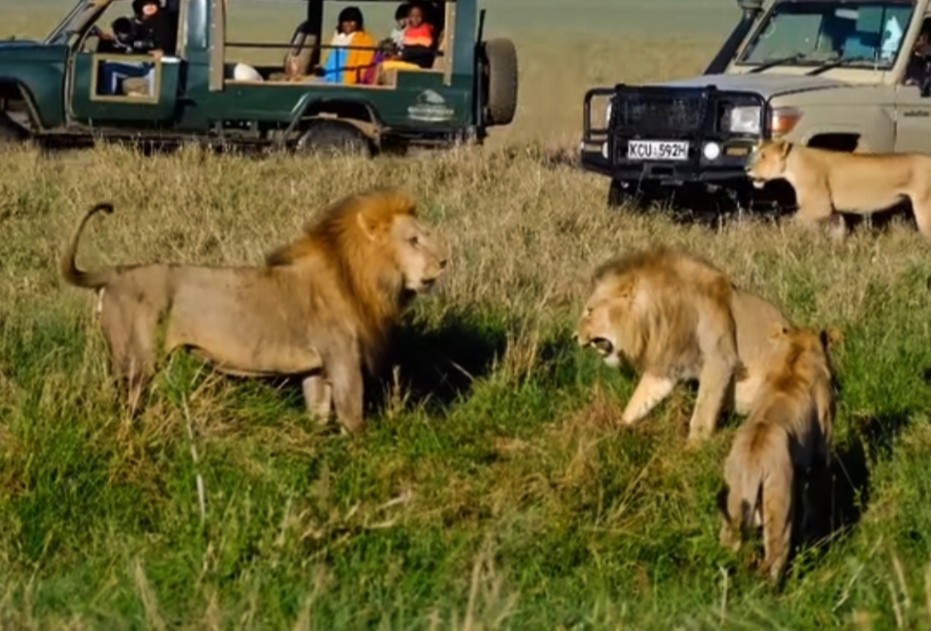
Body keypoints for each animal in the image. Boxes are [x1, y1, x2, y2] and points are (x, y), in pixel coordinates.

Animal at [61, 186, 448, 434]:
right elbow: (353, 418)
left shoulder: (317, 368)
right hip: (137, 362)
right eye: (414, 240)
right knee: (127, 406)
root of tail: (114, 273)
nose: (445, 262)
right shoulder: (343, 359)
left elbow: (318, 414)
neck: (364, 276)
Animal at [580, 248, 792, 444]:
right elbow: (640, 398)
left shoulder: (720, 359)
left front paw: (693, 449)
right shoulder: (669, 365)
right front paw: (616, 430)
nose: (576, 337)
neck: (663, 314)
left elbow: (702, 413)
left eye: (590, 311)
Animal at [716, 326, 840, 588]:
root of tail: (752, 459)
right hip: (779, 498)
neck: (795, 353)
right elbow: (813, 496)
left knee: (729, 547)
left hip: (734, 499)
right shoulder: (821, 449)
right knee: (774, 556)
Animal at [748, 138, 931, 237]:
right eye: (757, 154)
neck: (793, 165)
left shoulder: (820, 206)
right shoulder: (833, 212)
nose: (746, 169)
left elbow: (793, 219)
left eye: (763, 156)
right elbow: (838, 230)